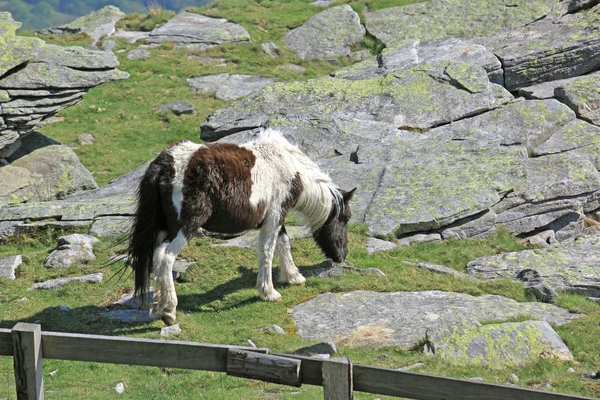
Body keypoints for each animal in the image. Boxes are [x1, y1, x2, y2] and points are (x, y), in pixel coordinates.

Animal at [124, 130, 354, 326]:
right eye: (346, 219)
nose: (342, 256)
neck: (289, 167)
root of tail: (165, 164)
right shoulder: (275, 216)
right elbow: (268, 251)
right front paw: (268, 292)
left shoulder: (277, 218)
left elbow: (283, 243)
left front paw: (293, 276)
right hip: (185, 228)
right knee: (166, 258)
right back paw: (169, 311)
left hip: (164, 229)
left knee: (156, 257)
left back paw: (157, 308)